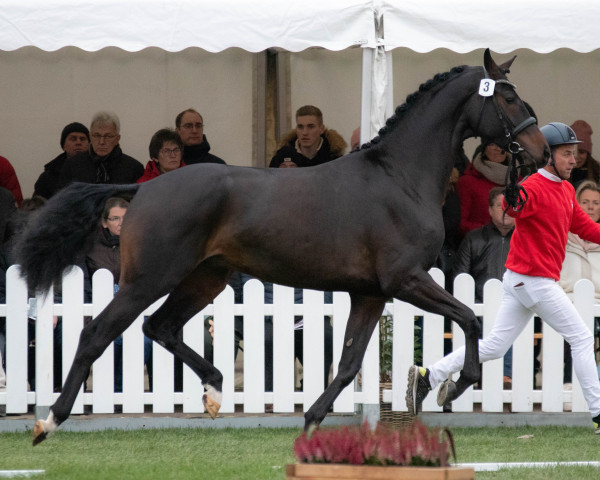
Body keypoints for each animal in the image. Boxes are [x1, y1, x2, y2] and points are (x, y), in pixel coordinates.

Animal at [18, 50, 548, 444]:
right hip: (148, 279)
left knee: (161, 326)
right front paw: (453, 389)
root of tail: (141, 189)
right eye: (507, 97)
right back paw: (49, 421)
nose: (541, 152)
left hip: (204, 278)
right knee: (98, 333)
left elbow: (349, 362)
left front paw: (312, 420)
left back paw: (214, 391)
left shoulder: (371, 293)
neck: (398, 178)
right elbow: (470, 318)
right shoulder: (406, 280)